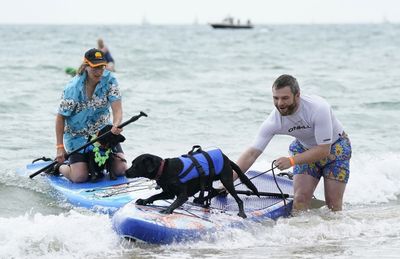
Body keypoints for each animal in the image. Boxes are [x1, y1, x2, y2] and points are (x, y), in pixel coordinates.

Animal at [125, 147, 260, 218]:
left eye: (135, 165)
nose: (125, 172)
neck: (164, 169)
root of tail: (226, 158)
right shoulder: (168, 193)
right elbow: (154, 196)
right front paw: (144, 200)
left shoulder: (182, 195)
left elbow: (175, 202)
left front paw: (168, 210)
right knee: (214, 192)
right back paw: (202, 200)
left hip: (226, 181)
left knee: (238, 199)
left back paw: (241, 212)